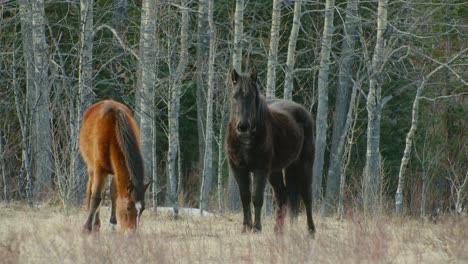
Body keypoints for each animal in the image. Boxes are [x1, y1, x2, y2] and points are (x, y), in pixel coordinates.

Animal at [78, 100, 148, 232]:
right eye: (128, 207)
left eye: (143, 209)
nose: (133, 233)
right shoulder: (99, 170)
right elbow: (96, 197)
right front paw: (87, 227)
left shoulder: (116, 171)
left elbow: (114, 194)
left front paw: (113, 224)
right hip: (92, 168)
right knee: (93, 190)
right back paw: (94, 223)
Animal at [226, 68, 316, 235]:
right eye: (235, 96)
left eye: (251, 97)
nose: (242, 126)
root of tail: (303, 112)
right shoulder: (239, 169)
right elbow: (245, 197)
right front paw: (246, 227)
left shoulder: (260, 169)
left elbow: (257, 198)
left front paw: (256, 228)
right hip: (276, 171)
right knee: (283, 196)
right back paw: (278, 231)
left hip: (304, 165)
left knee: (306, 196)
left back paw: (311, 231)